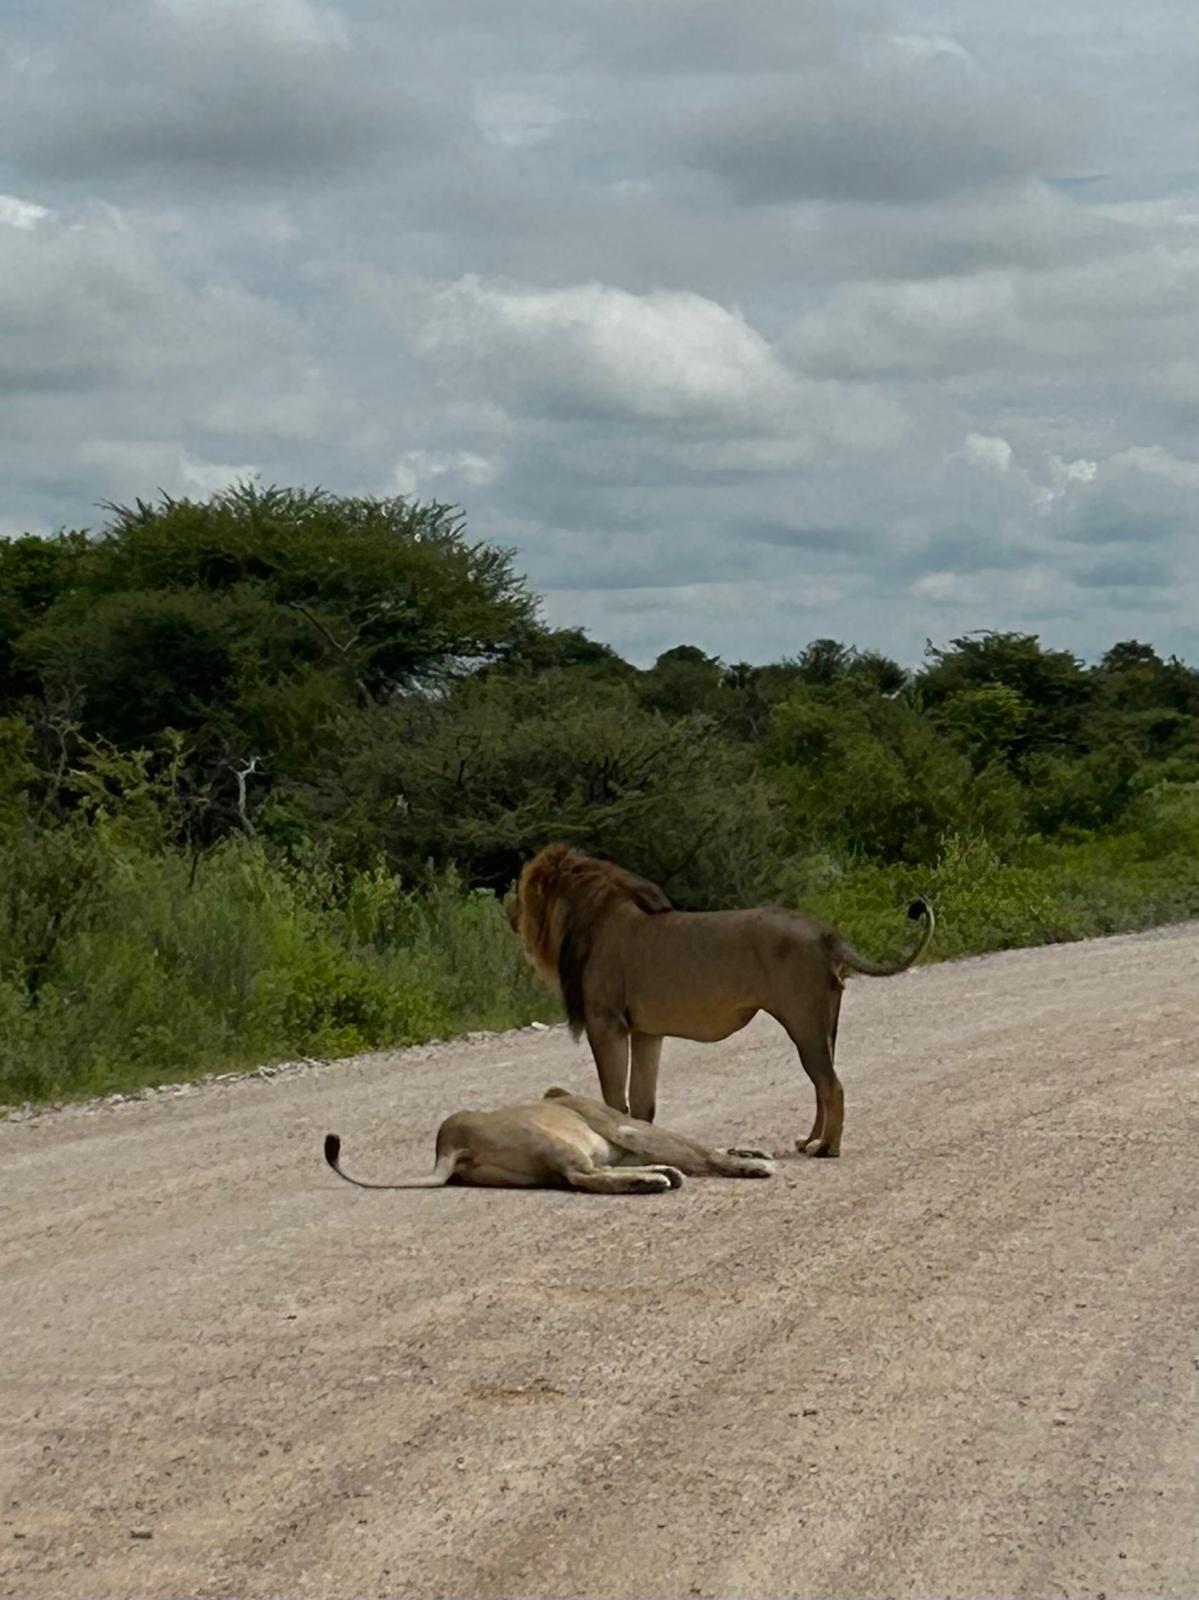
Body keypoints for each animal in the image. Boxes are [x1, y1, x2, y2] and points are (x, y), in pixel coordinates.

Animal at [506, 842, 935, 1158]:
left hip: (804, 1019)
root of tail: (825, 932)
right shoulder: (646, 1032)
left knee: (832, 1085)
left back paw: (827, 1148)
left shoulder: (606, 1023)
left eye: (523, 889)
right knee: (821, 1083)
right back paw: (809, 1140)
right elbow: (644, 1102)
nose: (509, 913)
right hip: (825, 1022)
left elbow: (614, 1097)